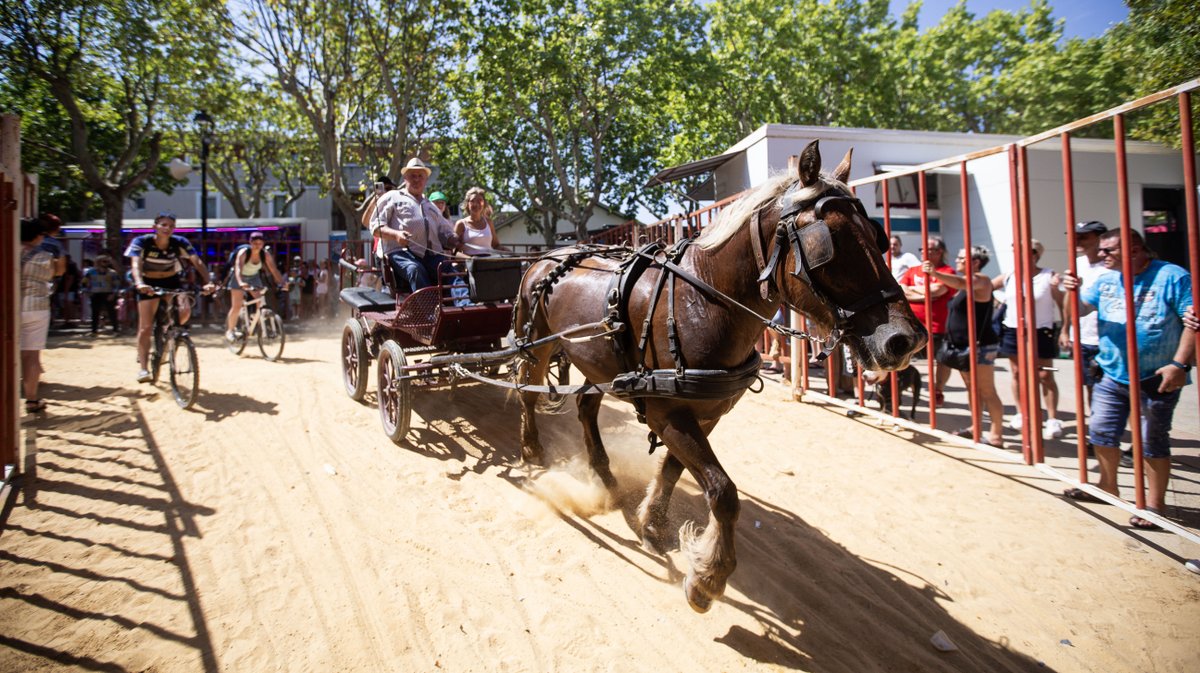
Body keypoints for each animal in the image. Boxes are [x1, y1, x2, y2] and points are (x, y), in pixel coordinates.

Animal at [511, 139, 921, 611]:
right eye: (829, 244)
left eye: (876, 236)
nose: (906, 340)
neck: (703, 300)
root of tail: (546, 256)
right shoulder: (667, 413)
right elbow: (724, 493)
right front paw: (709, 577)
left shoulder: (706, 412)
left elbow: (675, 471)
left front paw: (653, 525)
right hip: (537, 343)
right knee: (527, 393)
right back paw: (532, 450)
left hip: (597, 364)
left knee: (585, 406)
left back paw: (606, 476)